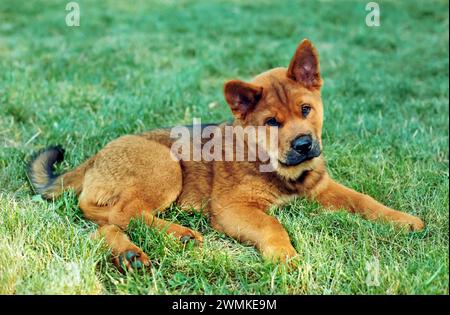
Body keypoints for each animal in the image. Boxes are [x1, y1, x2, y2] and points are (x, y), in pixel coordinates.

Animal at [29, 39, 426, 272]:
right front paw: (285, 257)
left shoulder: (322, 187)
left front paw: (403, 220)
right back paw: (177, 235)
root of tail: (95, 157)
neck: (277, 167)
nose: (303, 145)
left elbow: (364, 201)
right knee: (123, 213)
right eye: (271, 122)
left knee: (102, 221)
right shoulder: (232, 208)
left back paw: (130, 254)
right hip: (165, 166)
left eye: (306, 109)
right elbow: (273, 224)